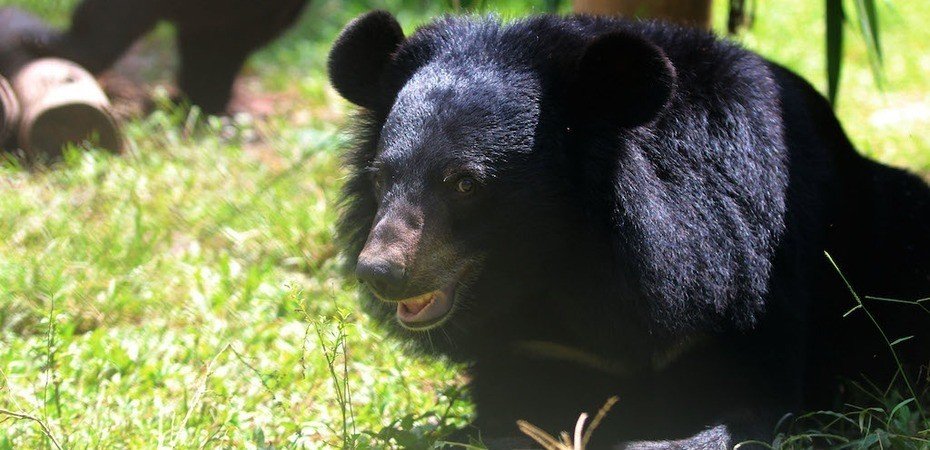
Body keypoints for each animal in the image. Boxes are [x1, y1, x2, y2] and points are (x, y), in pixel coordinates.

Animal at [326, 10, 928, 450]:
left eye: (465, 183)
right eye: (382, 177)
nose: (380, 271)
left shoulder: (746, 283)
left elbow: (750, 403)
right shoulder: (536, 346)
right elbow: (509, 411)